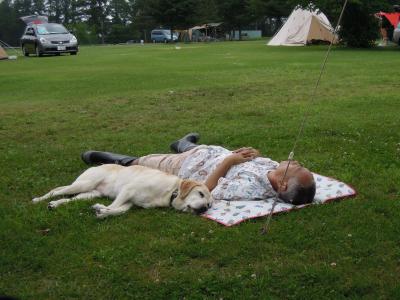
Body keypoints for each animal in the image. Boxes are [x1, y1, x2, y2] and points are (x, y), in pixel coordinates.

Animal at [32, 164, 212, 218]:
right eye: (200, 194)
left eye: (209, 205)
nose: (204, 209)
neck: (171, 192)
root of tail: (96, 165)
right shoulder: (128, 190)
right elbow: (114, 206)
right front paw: (102, 209)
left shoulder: (130, 202)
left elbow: (119, 210)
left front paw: (102, 212)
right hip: (84, 184)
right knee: (57, 190)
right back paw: (38, 200)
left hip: (89, 193)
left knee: (69, 199)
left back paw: (54, 205)